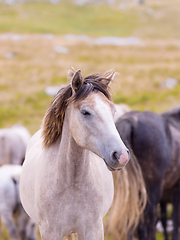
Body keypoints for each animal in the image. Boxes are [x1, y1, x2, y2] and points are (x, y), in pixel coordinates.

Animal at [19, 69, 129, 240]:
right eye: (85, 112)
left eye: (113, 111)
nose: (121, 156)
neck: (71, 183)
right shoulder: (51, 232)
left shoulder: (93, 230)